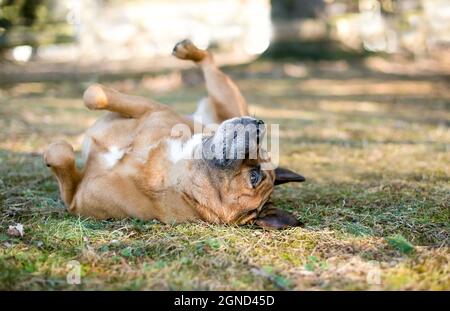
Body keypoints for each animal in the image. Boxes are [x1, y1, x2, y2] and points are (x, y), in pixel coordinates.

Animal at [44, 39, 306, 229]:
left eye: (254, 177)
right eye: (263, 152)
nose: (260, 124)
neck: (176, 168)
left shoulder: (74, 200)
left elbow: (60, 153)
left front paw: (54, 150)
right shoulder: (150, 107)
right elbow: (94, 93)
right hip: (225, 99)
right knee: (208, 59)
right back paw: (187, 50)